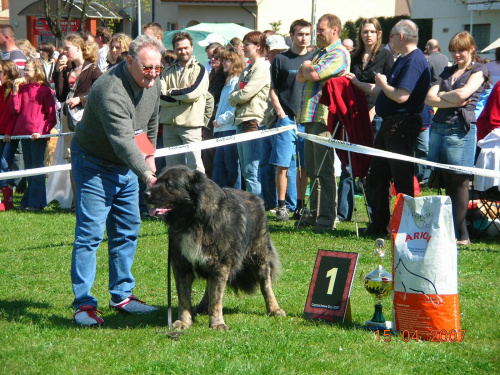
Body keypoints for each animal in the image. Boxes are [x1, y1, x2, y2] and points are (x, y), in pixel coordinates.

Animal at [145, 166, 286, 330]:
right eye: (157, 180)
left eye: (169, 184)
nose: (145, 194)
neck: (193, 221)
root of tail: (255, 197)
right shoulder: (182, 266)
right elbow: (184, 298)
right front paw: (184, 321)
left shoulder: (220, 265)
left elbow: (216, 298)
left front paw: (217, 323)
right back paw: (201, 307)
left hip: (259, 257)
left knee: (266, 284)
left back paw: (274, 309)